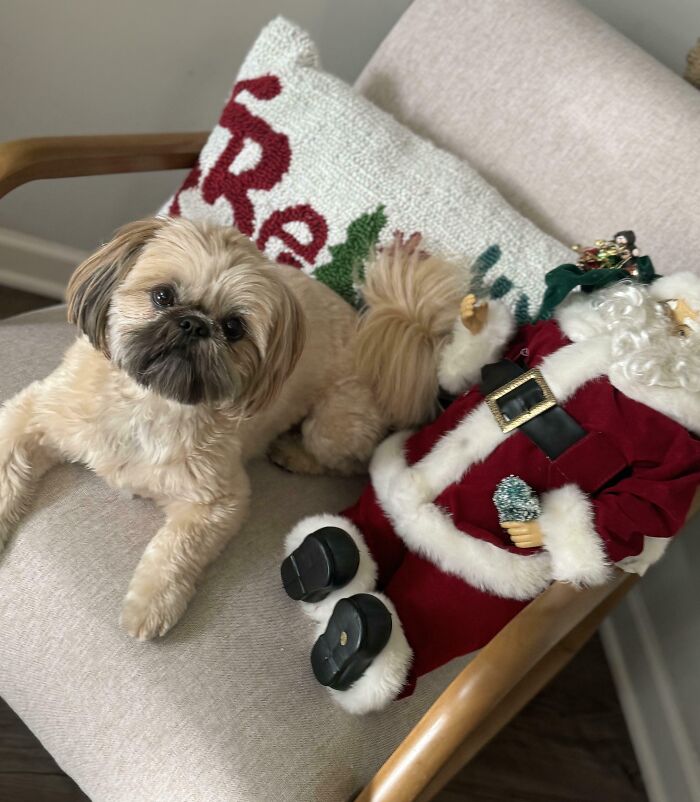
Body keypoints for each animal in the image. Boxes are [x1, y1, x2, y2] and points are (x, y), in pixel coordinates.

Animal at [0, 217, 462, 636]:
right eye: (163, 295)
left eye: (234, 327)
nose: (193, 324)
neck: (151, 403)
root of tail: (375, 334)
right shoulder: (35, 414)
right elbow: (9, 464)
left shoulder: (218, 501)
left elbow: (175, 549)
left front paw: (150, 605)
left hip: (334, 424)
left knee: (347, 460)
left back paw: (293, 453)